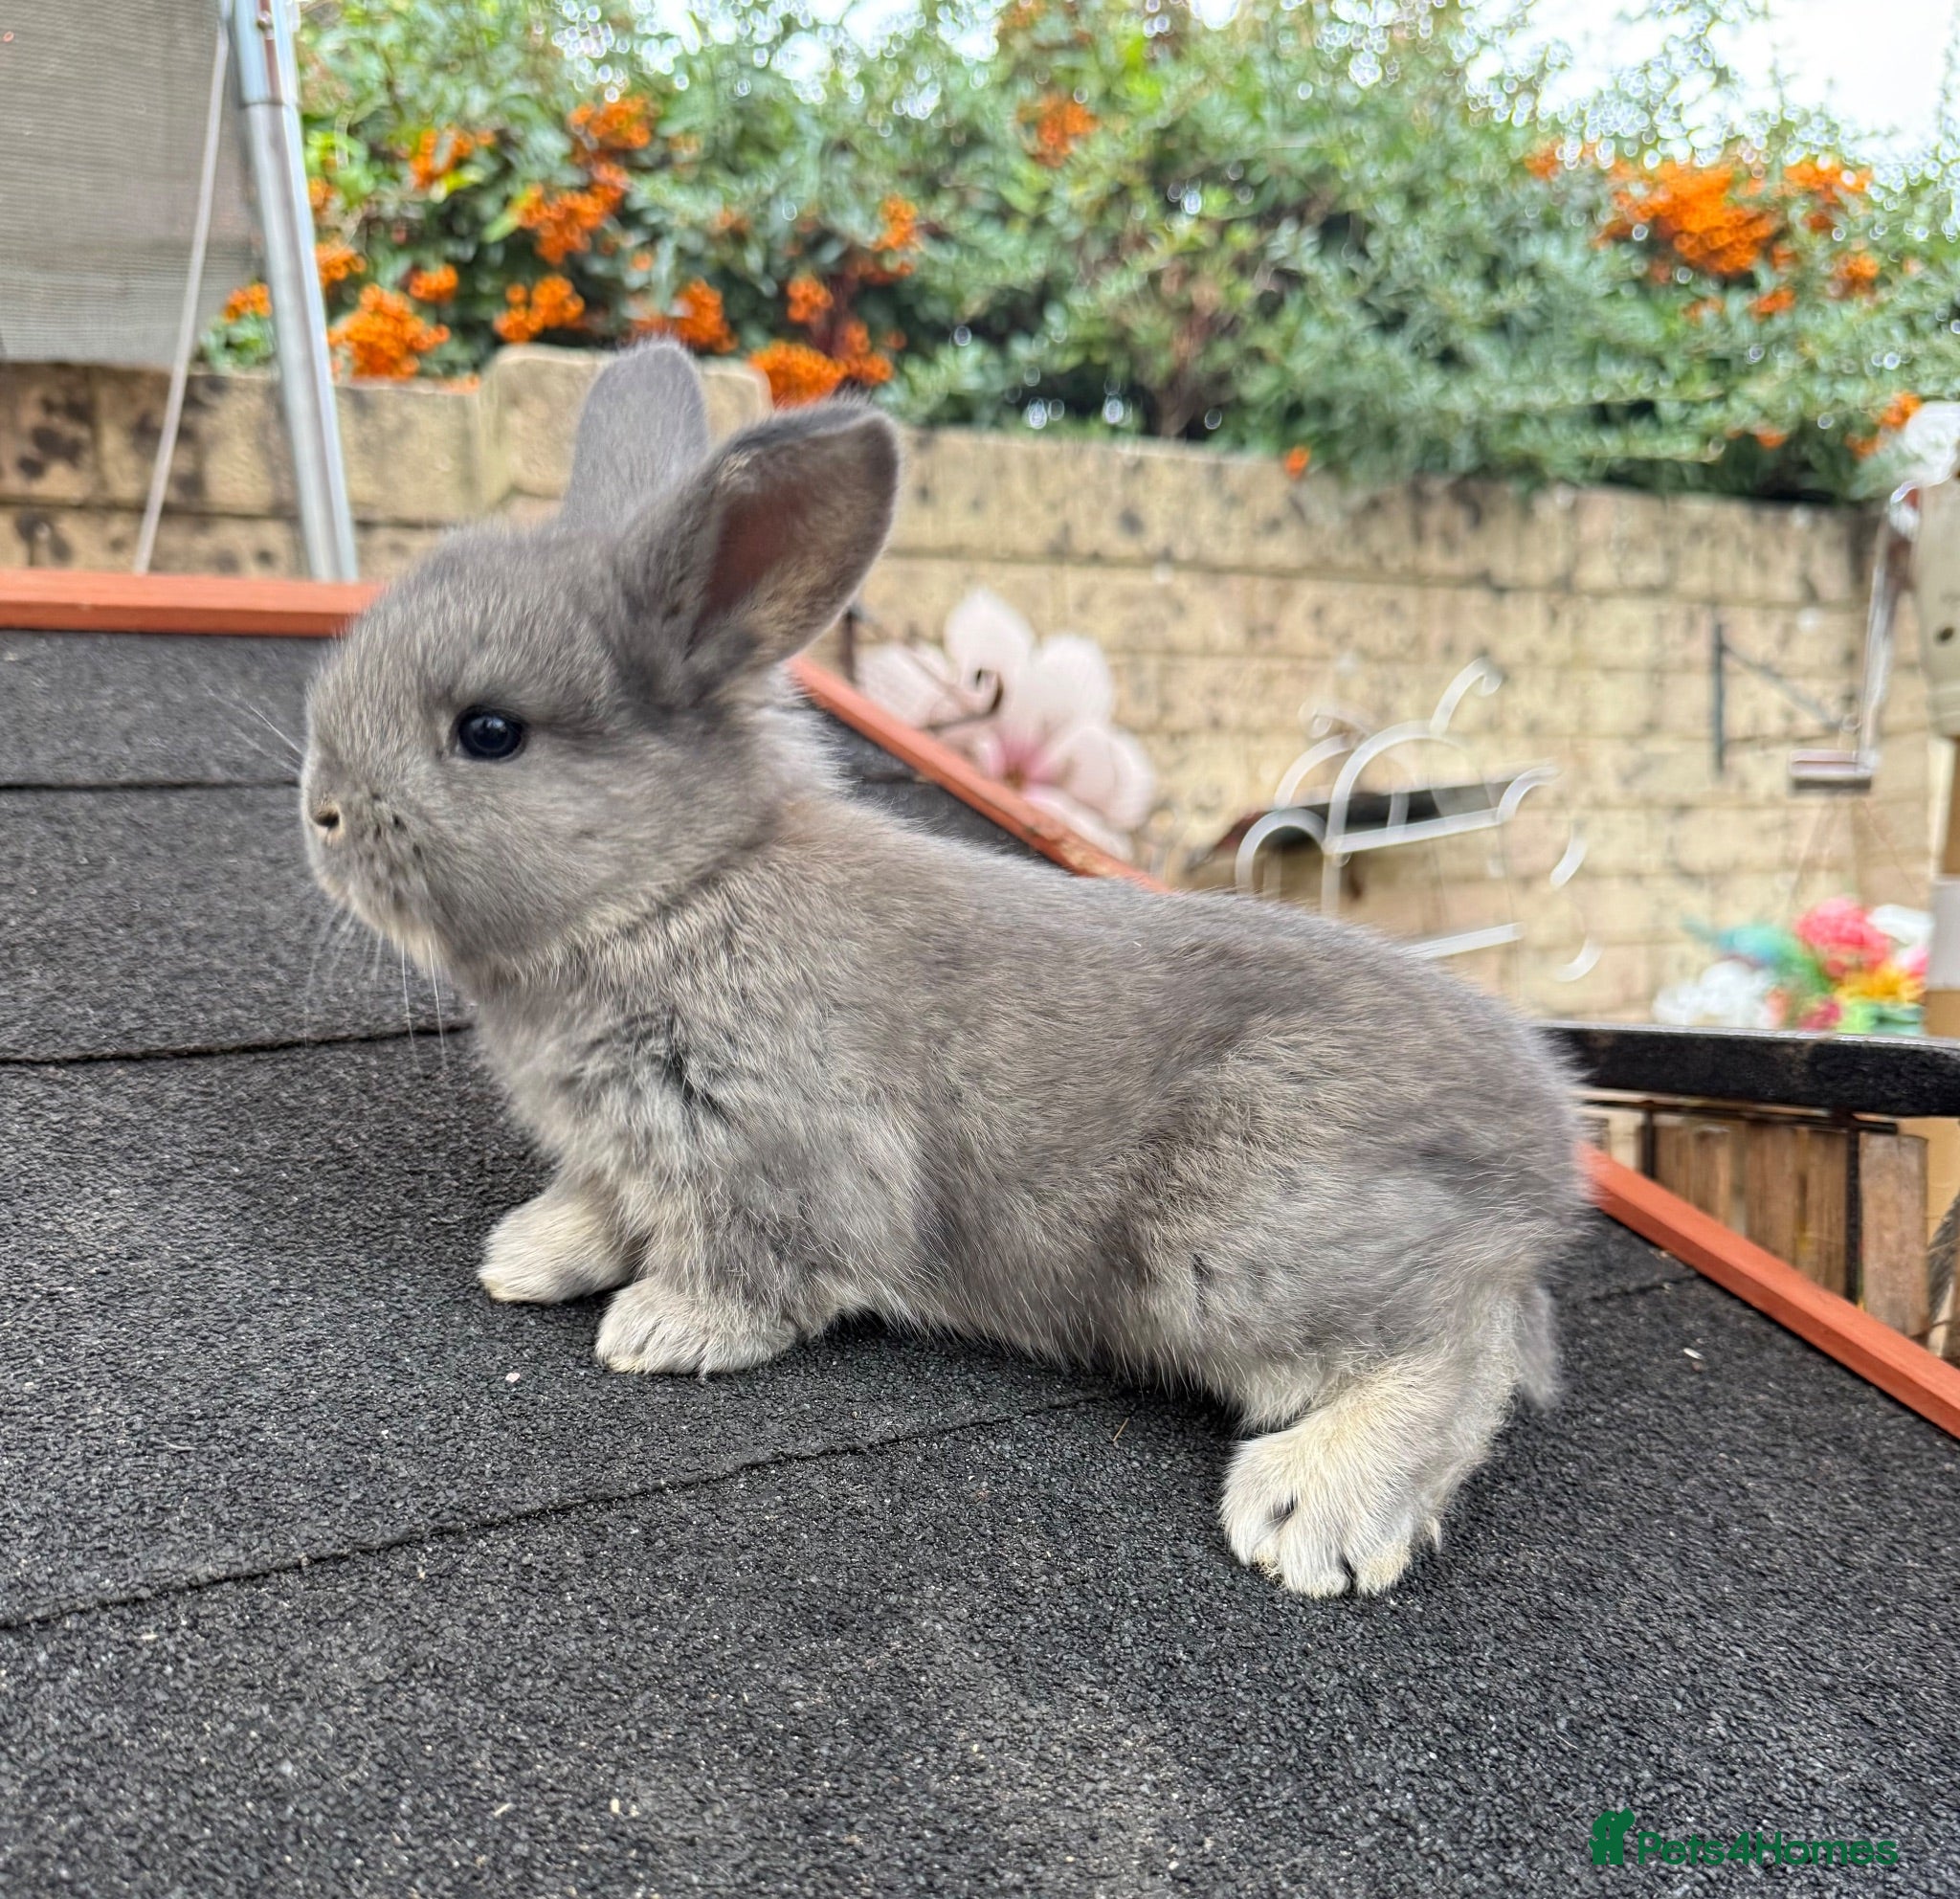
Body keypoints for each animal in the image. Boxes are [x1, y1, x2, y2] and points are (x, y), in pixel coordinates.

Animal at [302, 342, 1583, 1599]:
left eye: (489, 732)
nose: (319, 812)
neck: (680, 888)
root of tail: (1546, 1151)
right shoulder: (625, 1154)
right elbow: (602, 1207)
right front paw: (524, 1257)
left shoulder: (775, 1154)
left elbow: (749, 1272)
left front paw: (656, 1331)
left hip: (1238, 1239)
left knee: (1459, 1343)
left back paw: (1311, 1508)